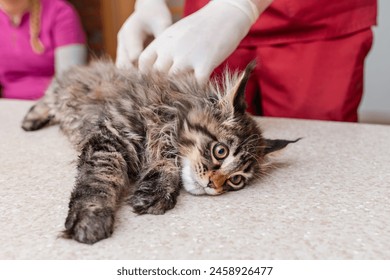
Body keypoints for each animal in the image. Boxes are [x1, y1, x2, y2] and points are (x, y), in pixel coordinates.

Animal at [20, 60, 298, 244]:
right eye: (220, 151)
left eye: (236, 180)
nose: (213, 185)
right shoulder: (112, 135)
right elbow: (99, 179)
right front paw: (91, 216)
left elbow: (166, 168)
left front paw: (155, 192)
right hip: (63, 91)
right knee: (47, 100)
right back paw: (31, 119)